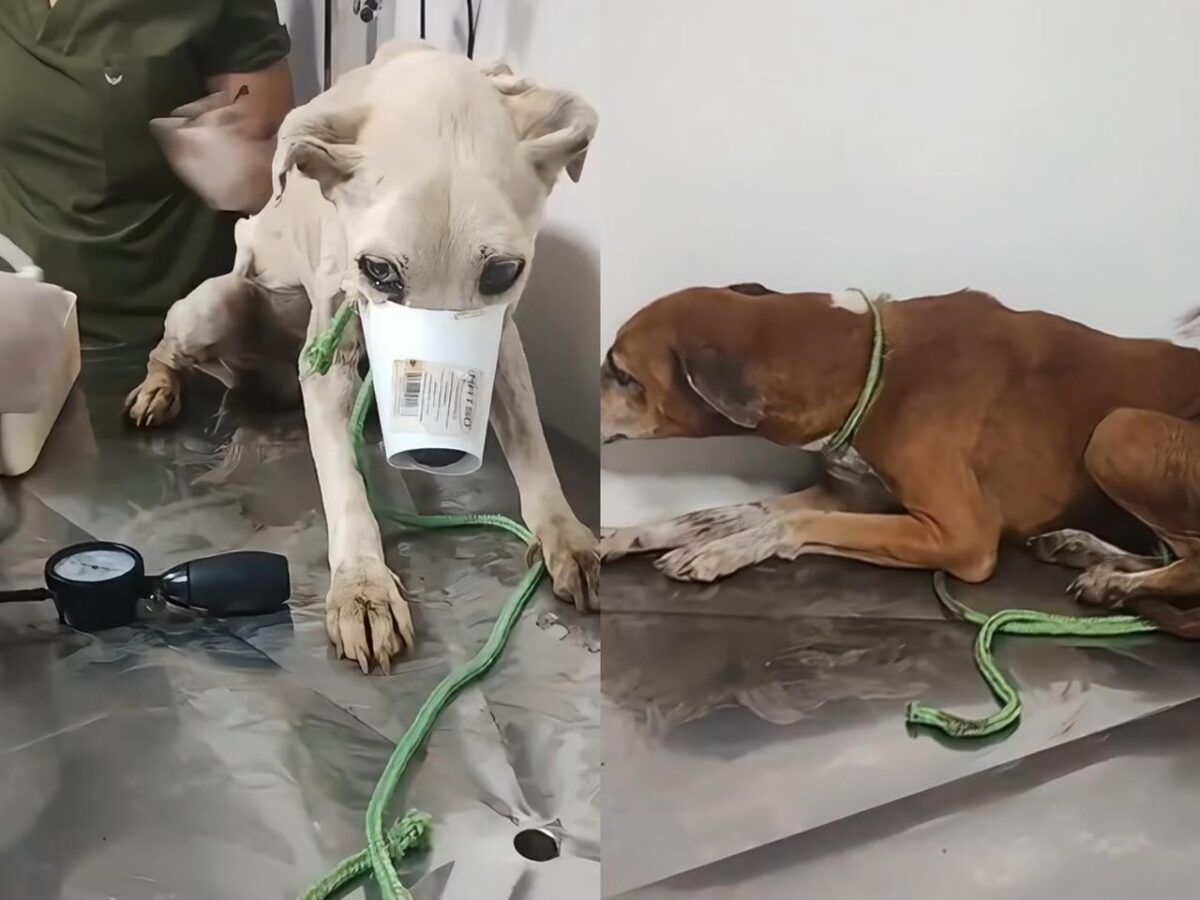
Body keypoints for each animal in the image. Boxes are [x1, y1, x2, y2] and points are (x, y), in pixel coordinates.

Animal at [124, 44, 599, 672]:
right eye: (379, 271)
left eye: (502, 271)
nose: (436, 455)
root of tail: (261, 380)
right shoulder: (328, 361)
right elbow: (345, 487)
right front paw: (361, 587)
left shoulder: (502, 339)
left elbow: (533, 445)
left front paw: (564, 533)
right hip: (210, 306)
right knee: (168, 347)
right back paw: (157, 389)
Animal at [600, 283, 1200, 638]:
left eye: (623, 374)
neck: (869, 361)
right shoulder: (849, 491)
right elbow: (724, 512)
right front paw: (628, 535)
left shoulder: (963, 537)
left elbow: (797, 522)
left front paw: (721, 552)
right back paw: (1087, 552)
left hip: (1117, 429)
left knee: (1192, 563)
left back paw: (1116, 583)